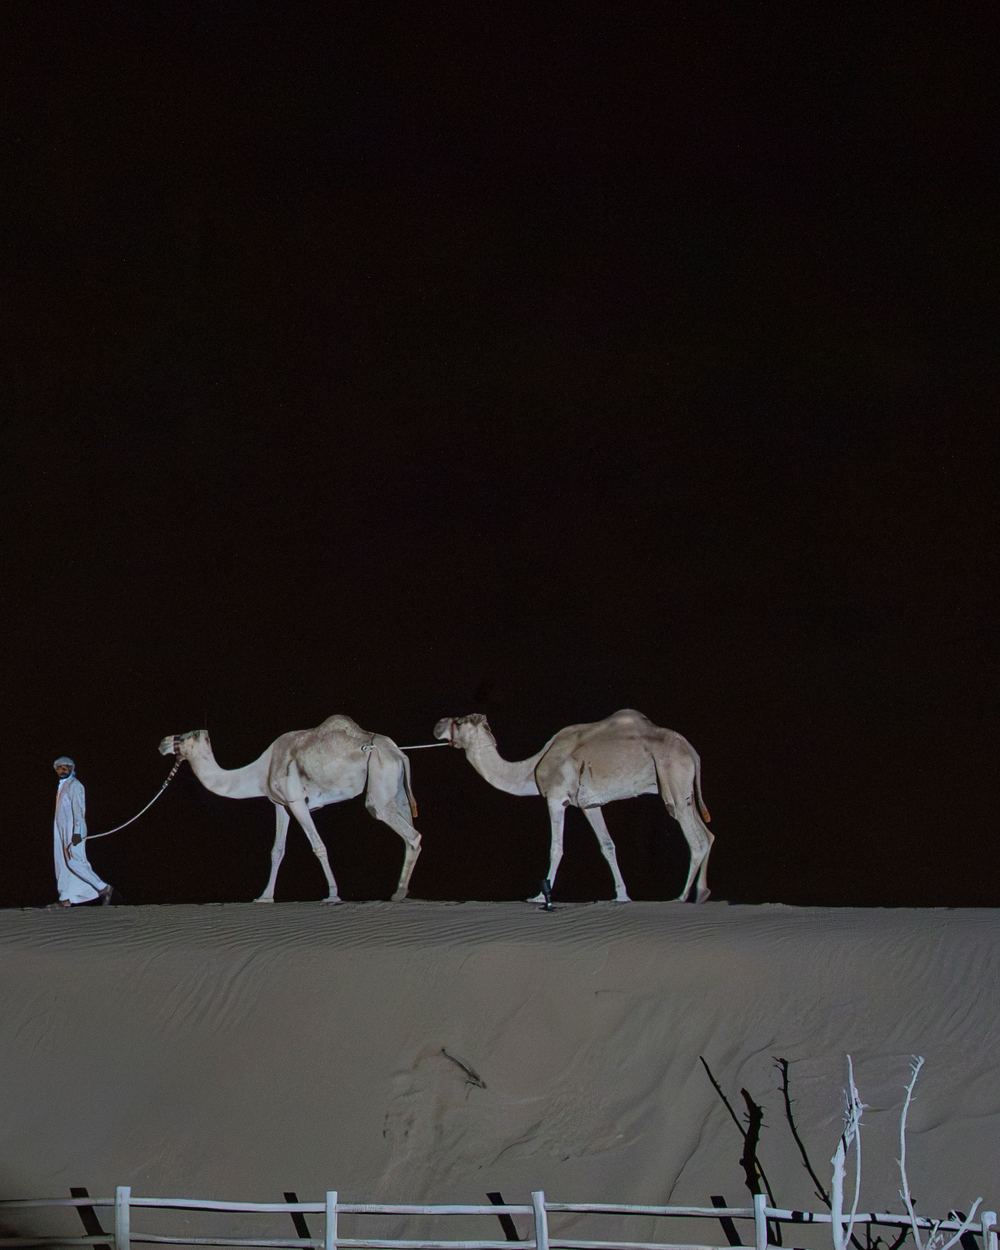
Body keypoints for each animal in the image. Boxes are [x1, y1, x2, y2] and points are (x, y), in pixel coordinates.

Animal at [159, 715, 421, 903]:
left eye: (186, 735)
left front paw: (333, 895)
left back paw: (398, 893)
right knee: (408, 830)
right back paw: (400, 893)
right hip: (395, 786)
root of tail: (399, 752)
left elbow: (319, 846)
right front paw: (264, 897)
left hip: (380, 778)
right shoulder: (280, 805)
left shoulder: (296, 801)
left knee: (406, 831)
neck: (261, 771)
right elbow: (277, 850)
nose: (162, 742)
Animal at [433, 708, 714, 903]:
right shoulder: (590, 804)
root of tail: (691, 750)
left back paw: (681, 897)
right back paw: (701, 893)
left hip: (672, 782)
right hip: (684, 789)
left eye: (459, 721)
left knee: (697, 839)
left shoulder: (556, 798)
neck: (531, 769)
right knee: (708, 834)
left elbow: (556, 848)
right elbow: (607, 845)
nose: (438, 725)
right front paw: (622, 895)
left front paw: (538, 895)